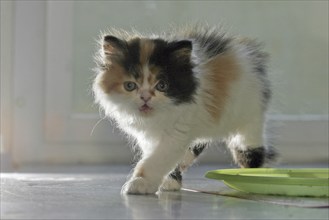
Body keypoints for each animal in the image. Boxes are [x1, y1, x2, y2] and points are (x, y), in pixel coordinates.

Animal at [92, 25, 276, 194]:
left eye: (162, 85)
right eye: (130, 86)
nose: (145, 97)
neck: (156, 119)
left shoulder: (179, 130)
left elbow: (156, 159)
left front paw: (140, 183)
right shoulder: (148, 137)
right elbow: (159, 156)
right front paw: (165, 181)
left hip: (251, 117)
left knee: (250, 149)